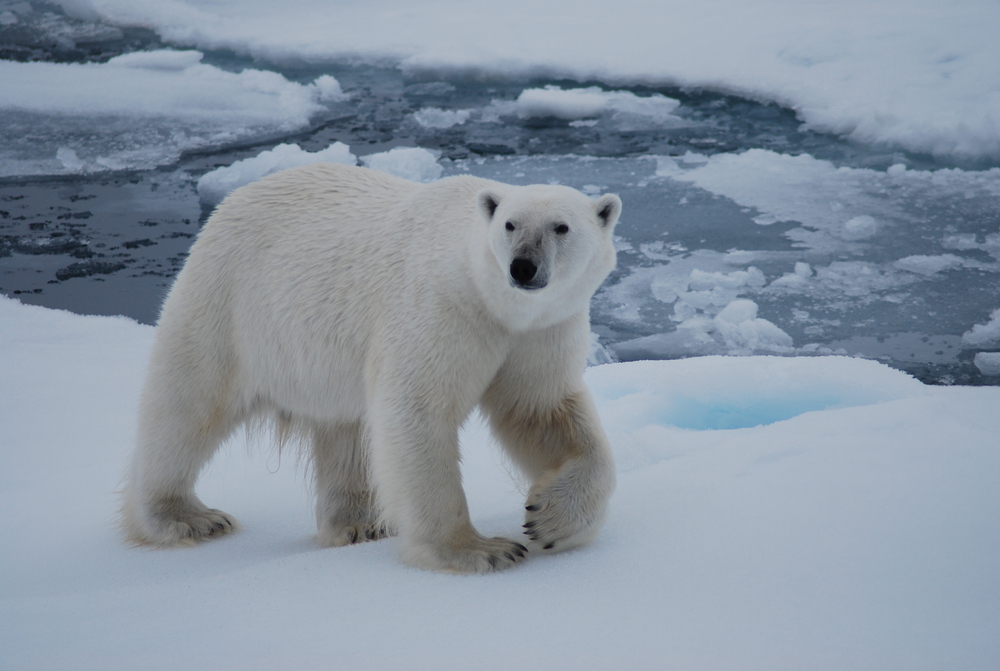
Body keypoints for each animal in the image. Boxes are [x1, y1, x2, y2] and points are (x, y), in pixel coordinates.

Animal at [122, 163, 620, 572]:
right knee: (188, 404)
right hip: (229, 301)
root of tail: (233, 199)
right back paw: (186, 518)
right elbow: (418, 410)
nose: (522, 267)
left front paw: (551, 520)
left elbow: (540, 409)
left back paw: (359, 523)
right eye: (510, 224)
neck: (493, 301)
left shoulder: (541, 330)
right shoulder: (442, 308)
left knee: (345, 430)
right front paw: (479, 550)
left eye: (561, 227)